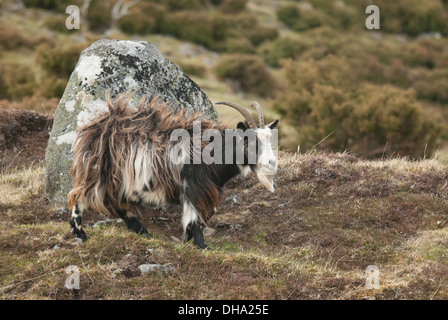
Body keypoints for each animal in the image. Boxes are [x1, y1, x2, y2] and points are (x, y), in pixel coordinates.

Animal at [68, 94, 278, 249]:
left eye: (269, 140)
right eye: (251, 142)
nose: (272, 163)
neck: (214, 153)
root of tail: (93, 128)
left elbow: (203, 215)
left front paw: (188, 239)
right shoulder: (194, 188)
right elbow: (195, 218)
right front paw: (201, 245)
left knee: (116, 203)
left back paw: (141, 230)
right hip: (96, 172)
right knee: (79, 197)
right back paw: (81, 234)